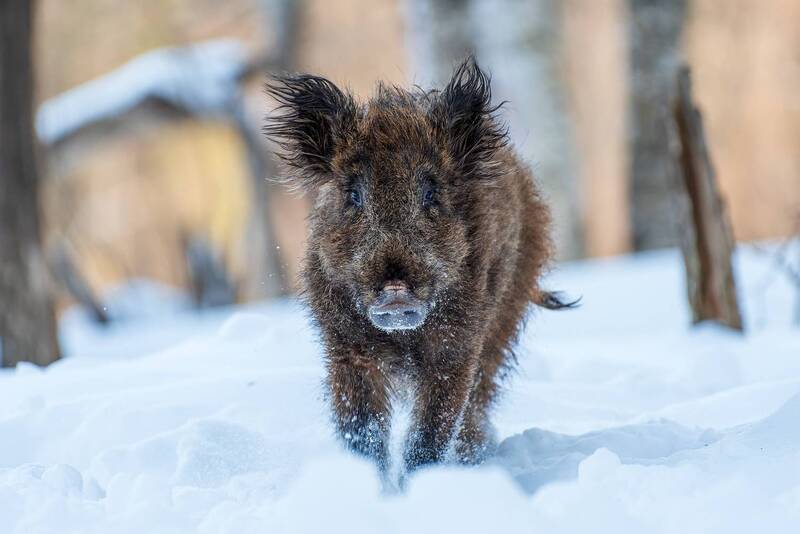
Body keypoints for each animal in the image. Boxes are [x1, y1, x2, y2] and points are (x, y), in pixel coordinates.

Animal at [265, 58, 572, 477]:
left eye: (430, 193)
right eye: (353, 194)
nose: (395, 289)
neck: (401, 341)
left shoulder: (456, 348)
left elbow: (431, 432)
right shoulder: (346, 348)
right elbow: (362, 429)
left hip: (504, 318)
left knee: (479, 399)